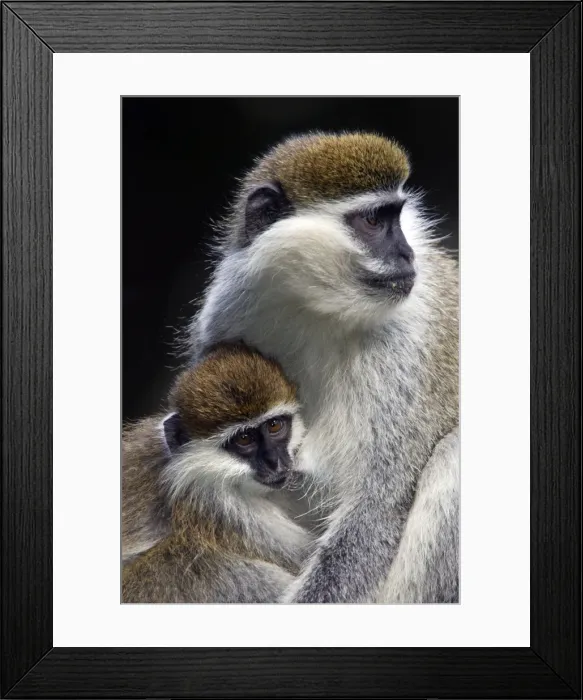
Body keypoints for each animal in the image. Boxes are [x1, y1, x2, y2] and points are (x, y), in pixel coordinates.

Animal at [186, 131, 459, 603]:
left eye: (396, 217)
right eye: (373, 221)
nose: (408, 255)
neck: (322, 311)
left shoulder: (406, 349)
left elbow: (376, 508)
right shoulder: (228, 318)